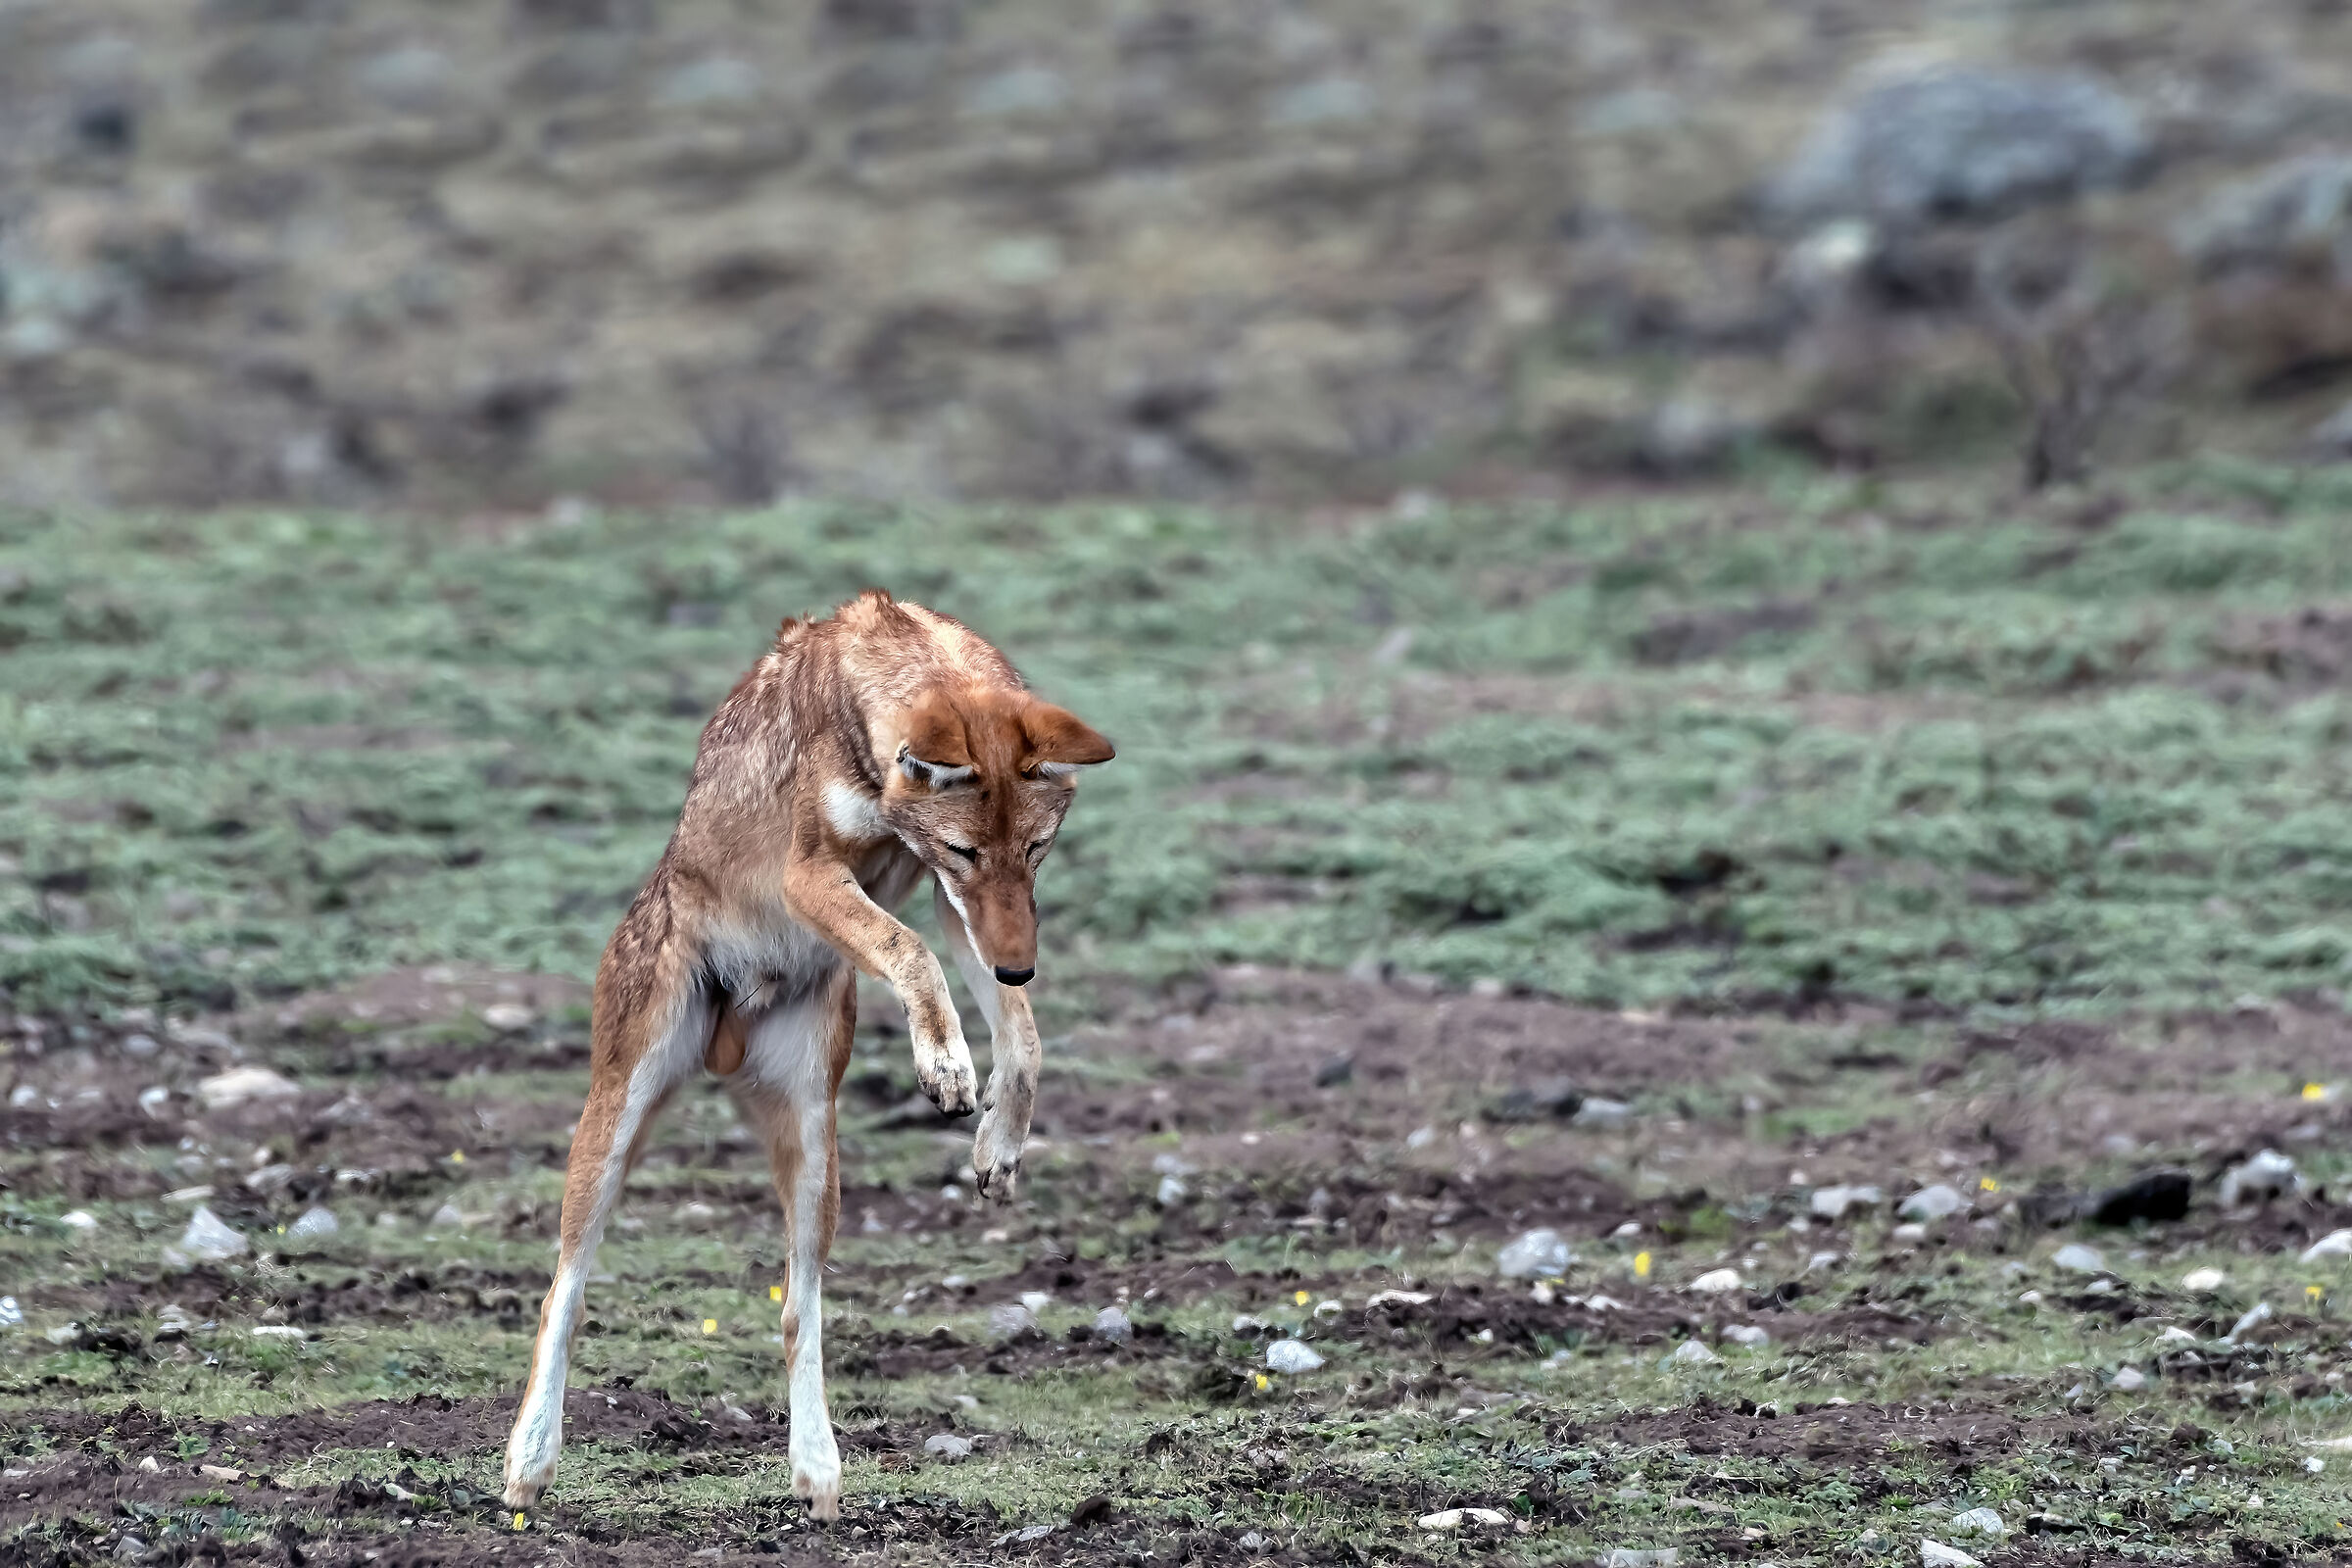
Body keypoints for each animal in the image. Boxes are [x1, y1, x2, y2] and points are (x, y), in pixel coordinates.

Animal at [501, 590, 1114, 1519]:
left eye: (1037, 849)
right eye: (967, 848)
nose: (1020, 963)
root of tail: (727, 1040)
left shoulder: (956, 905)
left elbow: (1023, 1033)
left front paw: (998, 1142)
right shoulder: (823, 876)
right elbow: (912, 955)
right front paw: (946, 1064)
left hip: (818, 1155)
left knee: (799, 1310)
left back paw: (817, 1469)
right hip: (614, 1126)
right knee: (560, 1294)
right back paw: (530, 1461)